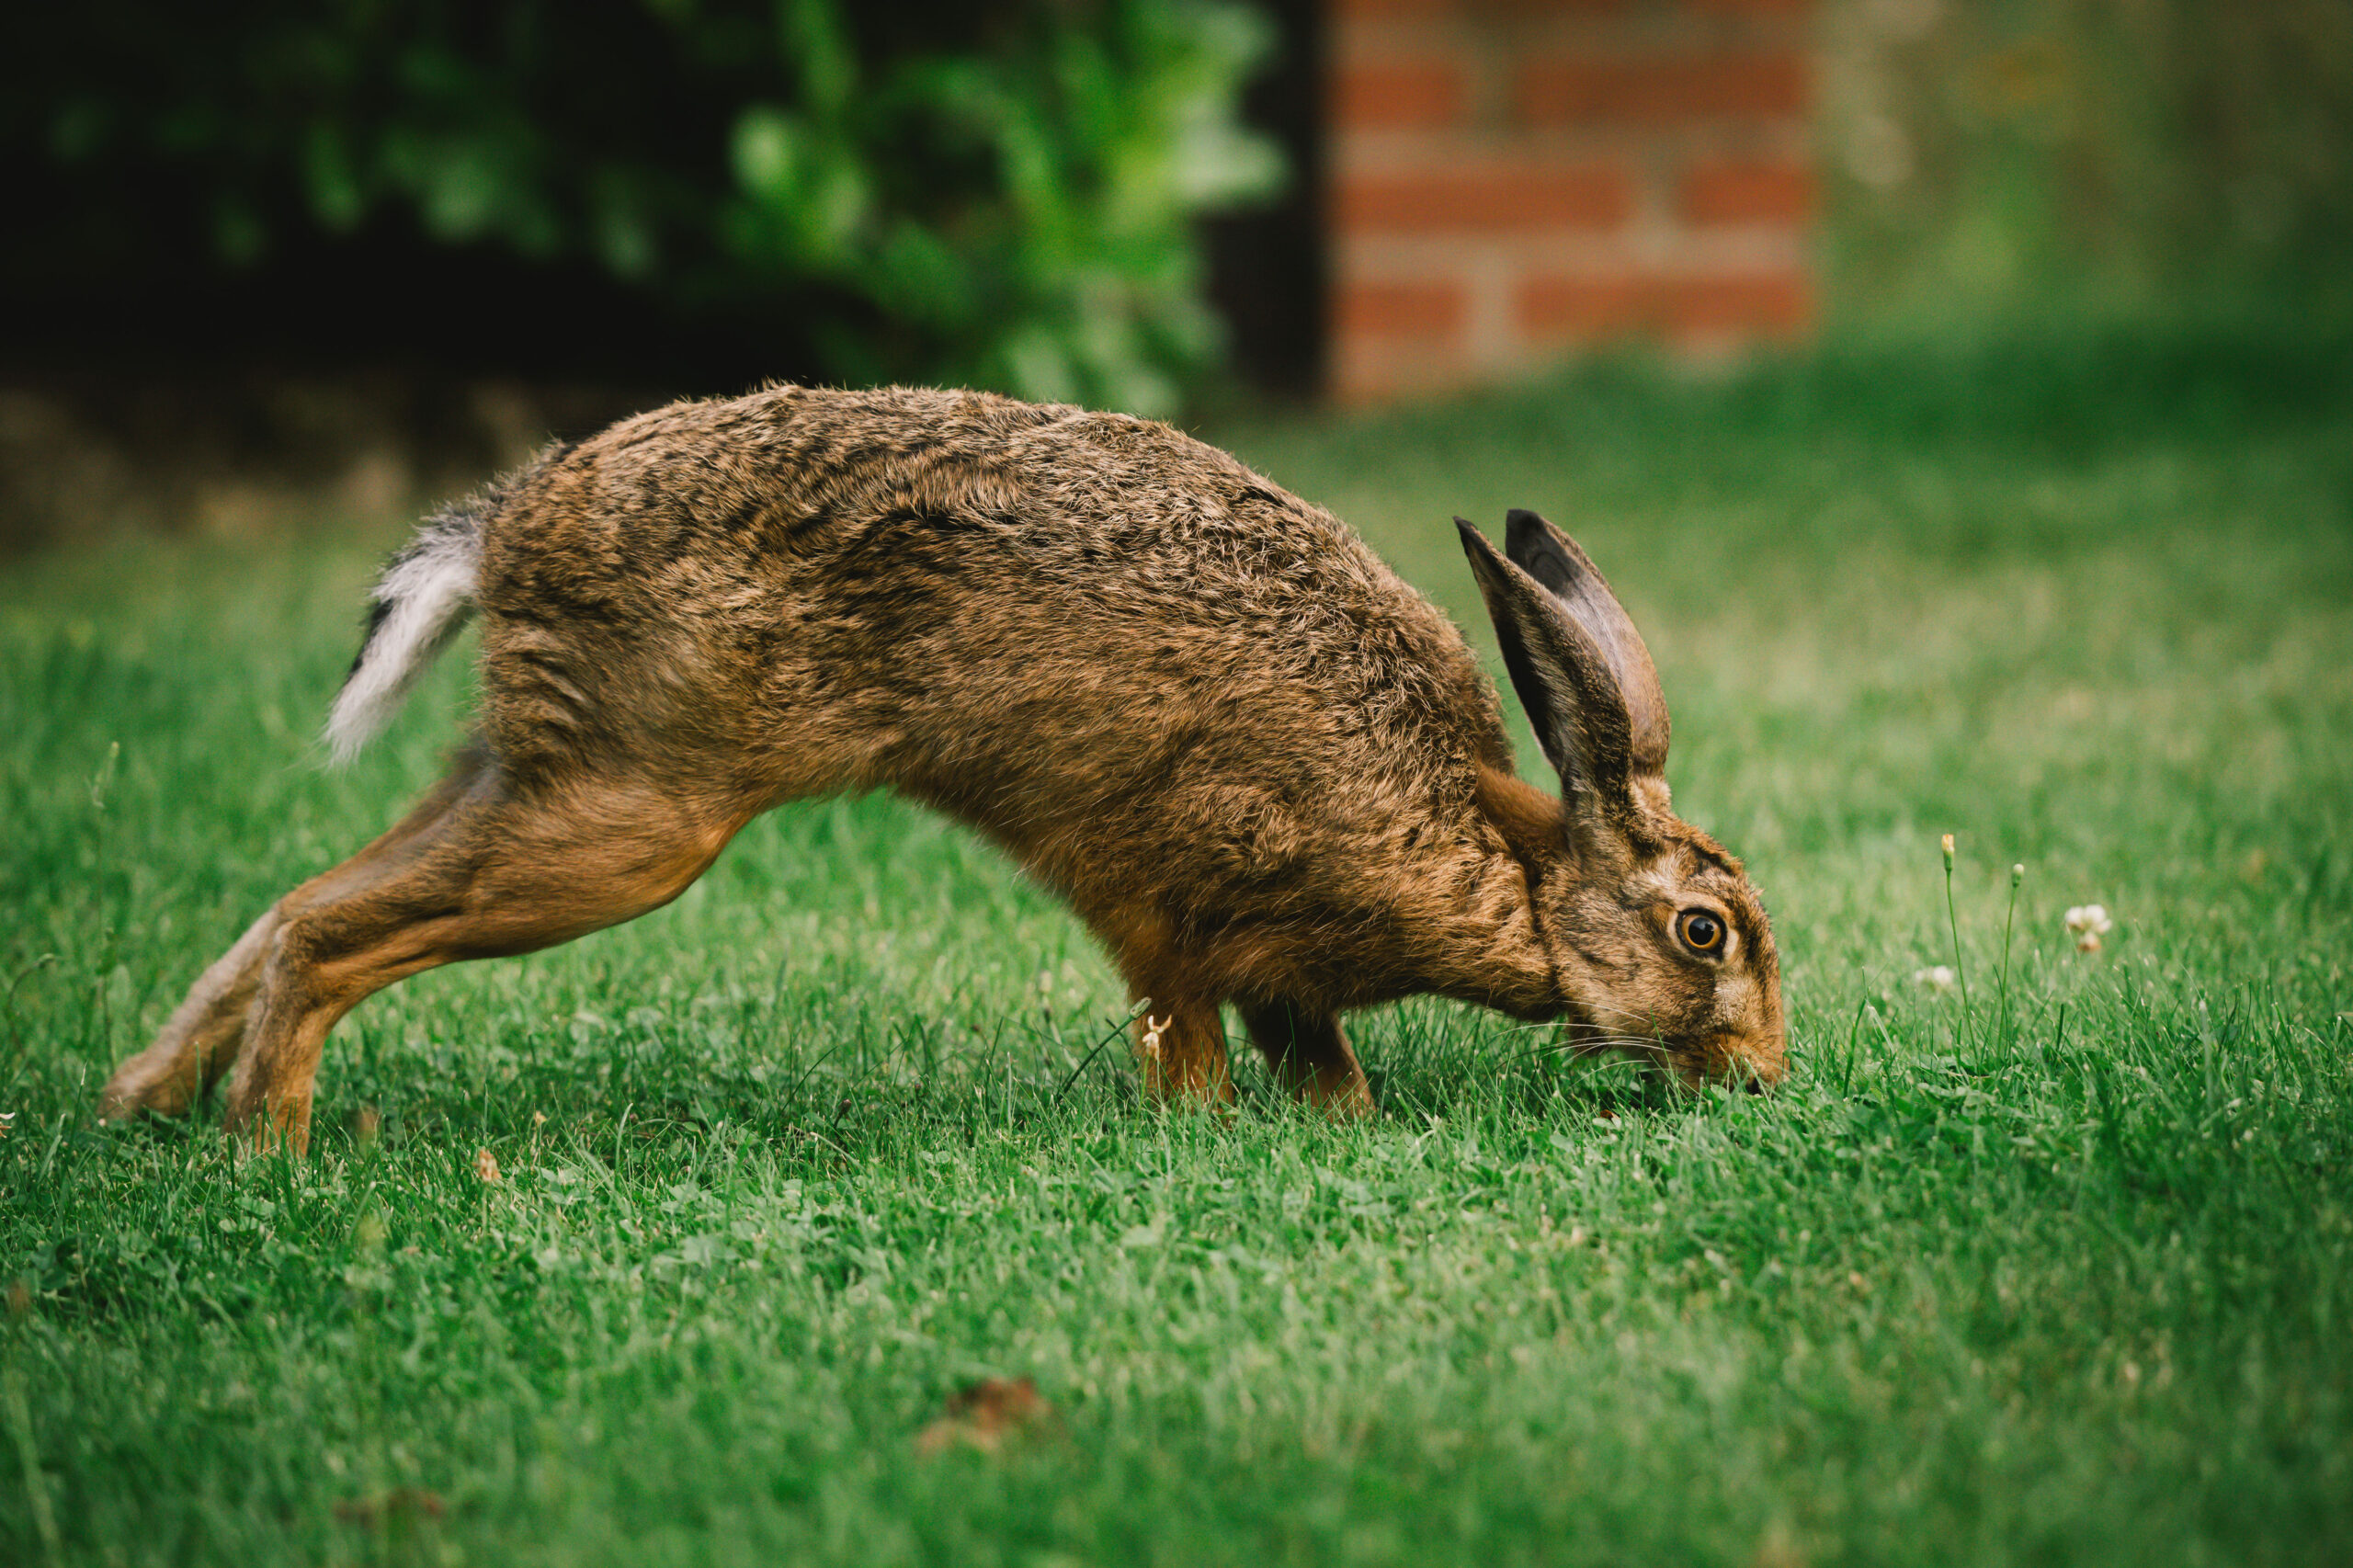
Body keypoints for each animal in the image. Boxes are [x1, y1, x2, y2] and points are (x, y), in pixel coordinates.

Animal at [100, 383, 1786, 1153]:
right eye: (1704, 931)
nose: (1766, 1075)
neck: (1503, 858)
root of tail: (510, 530)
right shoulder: (1180, 918)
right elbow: (1197, 1039)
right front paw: (1208, 1136)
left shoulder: (1274, 973)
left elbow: (1320, 1061)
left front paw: (1334, 1131)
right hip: (631, 822)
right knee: (328, 935)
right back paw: (271, 1145)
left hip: (531, 778)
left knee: (296, 902)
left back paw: (144, 1102)